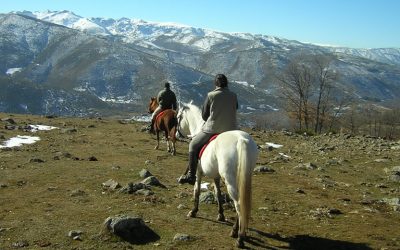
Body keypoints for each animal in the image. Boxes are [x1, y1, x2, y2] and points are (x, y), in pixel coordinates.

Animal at [176, 102, 258, 248]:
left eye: (178, 117)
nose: (176, 134)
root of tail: (242, 140)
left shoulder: (198, 172)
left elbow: (197, 190)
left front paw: (193, 211)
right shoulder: (216, 176)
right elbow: (218, 194)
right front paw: (221, 215)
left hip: (230, 180)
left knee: (238, 204)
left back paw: (239, 236)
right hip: (244, 177)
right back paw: (238, 232)